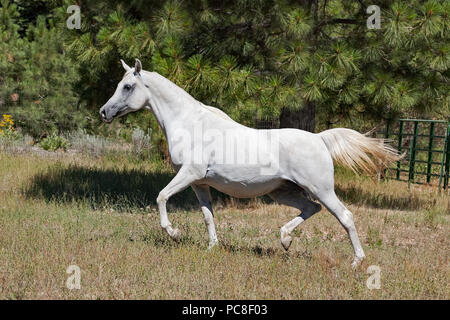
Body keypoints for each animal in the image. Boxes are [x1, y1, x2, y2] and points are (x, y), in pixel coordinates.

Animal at [99, 59, 400, 268]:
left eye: (127, 86)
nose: (104, 112)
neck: (190, 123)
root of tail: (319, 139)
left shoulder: (189, 174)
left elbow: (161, 196)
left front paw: (173, 233)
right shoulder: (199, 183)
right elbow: (208, 216)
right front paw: (212, 248)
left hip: (321, 189)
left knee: (344, 216)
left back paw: (356, 261)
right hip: (282, 191)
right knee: (310, 208)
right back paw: (285, 240)